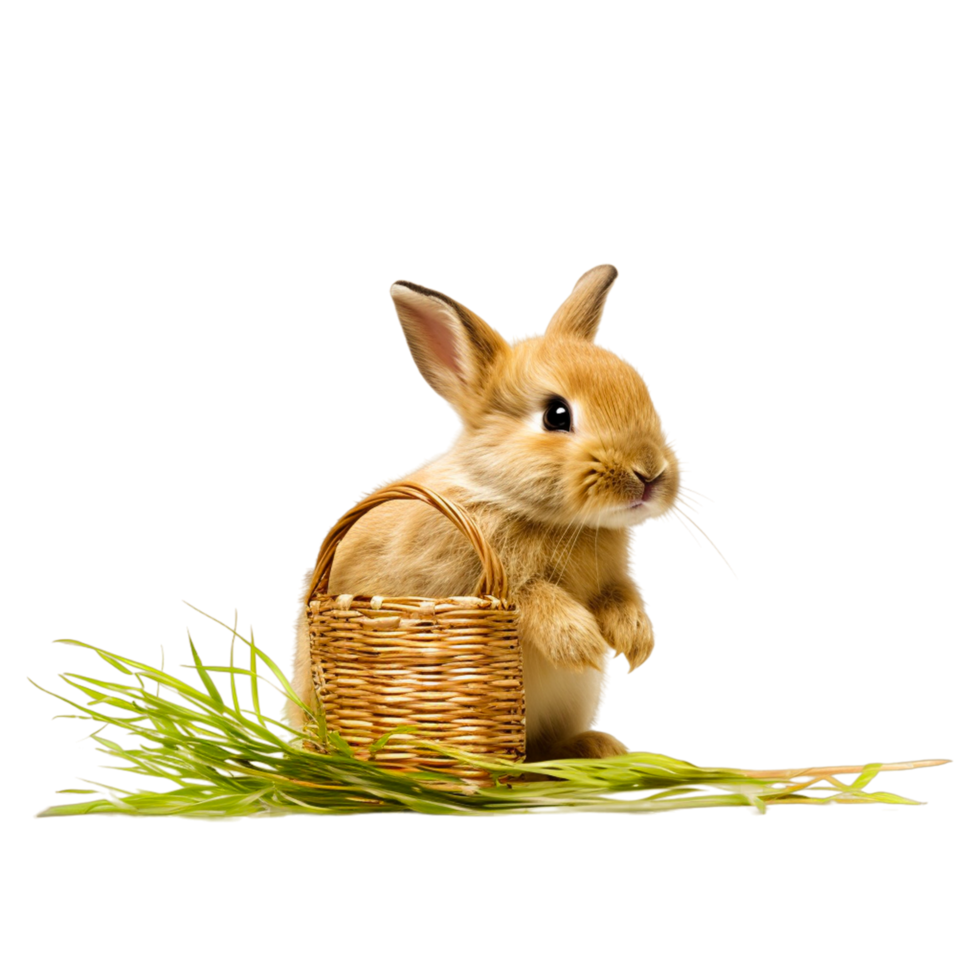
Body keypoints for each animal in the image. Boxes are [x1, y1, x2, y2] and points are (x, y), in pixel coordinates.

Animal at [284, 264, 684, 760]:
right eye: (556, 415)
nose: (650, 473)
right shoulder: (472, 583)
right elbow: (535, 598)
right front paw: (581, 643)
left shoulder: (611, 583)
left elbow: (620, 598)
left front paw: (636, 643)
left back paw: (597, 746)